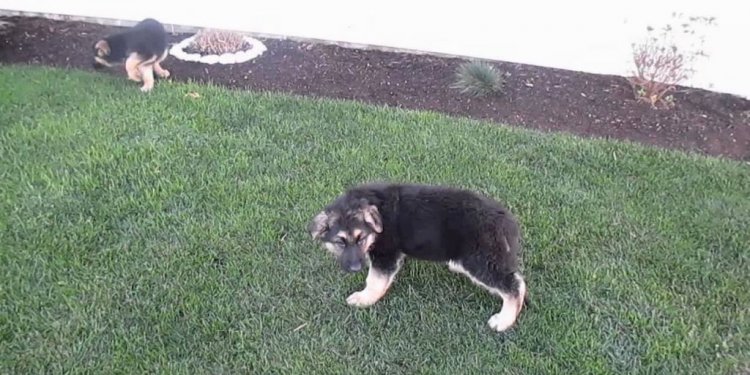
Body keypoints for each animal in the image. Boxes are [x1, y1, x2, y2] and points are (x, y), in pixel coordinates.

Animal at [308, 184, 532, 334]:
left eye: (360, 238)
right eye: (340, 242)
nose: (355, 267)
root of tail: (505, 219)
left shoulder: (386, 254)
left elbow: (374, 281)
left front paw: (364, 299)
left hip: (478, 259)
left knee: (514, 284)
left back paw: (504, 320)